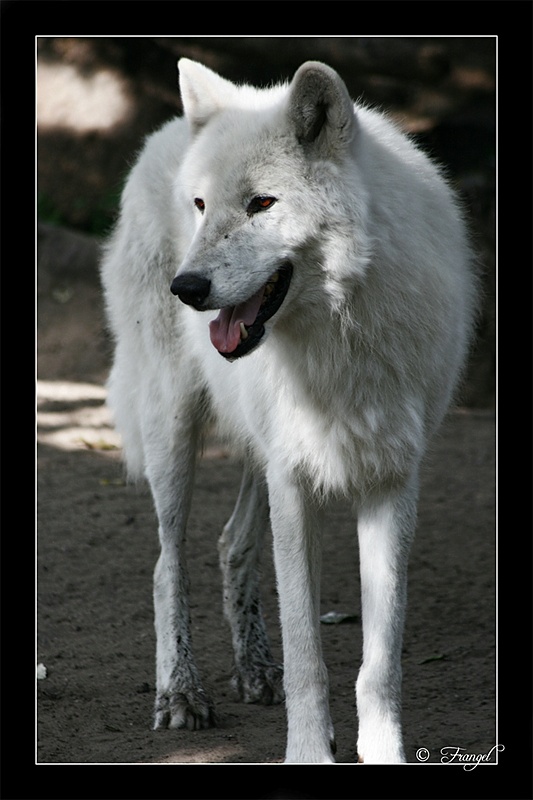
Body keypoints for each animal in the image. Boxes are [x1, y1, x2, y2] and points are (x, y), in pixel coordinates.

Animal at [100, 57, 474, 764]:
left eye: (261, 204)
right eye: (200, 206)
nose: (186, 288)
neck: (340, 333)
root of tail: (164, 130)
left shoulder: (391, 480)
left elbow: (380, 660)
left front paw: (381, 750)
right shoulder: (294, 481)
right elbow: (308, 652)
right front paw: (308, 752)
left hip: (256, 450)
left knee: (229, 543)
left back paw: (253, 669)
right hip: (173, 430)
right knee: (167, 564)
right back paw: (180, 693)